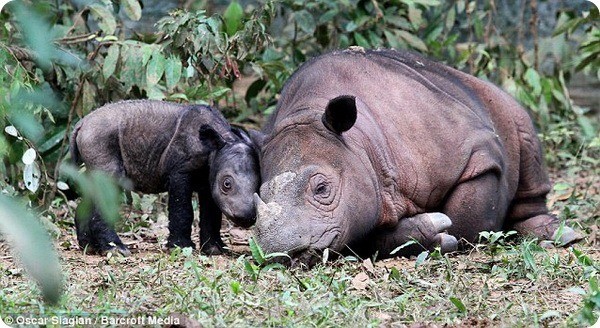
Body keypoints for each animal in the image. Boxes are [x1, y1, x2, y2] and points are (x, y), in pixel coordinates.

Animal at [69, 100, 258, 256]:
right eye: (227, 184)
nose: (246, 217)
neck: (216, 146)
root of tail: (81, 124)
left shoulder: (209, 178)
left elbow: (212, 213)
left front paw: (214, 249)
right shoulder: (180, 171)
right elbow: (182, 209)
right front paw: (181, 247)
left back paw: (89, 247)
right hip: (99, 140)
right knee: (109, 185)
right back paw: (116, 250)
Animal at [252, 47, 580, 266]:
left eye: (322, 189)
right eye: (260, 196)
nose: (282, 251)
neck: (359, 145)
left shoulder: (478, 155)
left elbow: (466, 222)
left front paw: (443, 236)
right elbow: (363, 237)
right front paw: (429, 233)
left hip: (491, 98)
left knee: (520, 122)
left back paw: (560, 234)